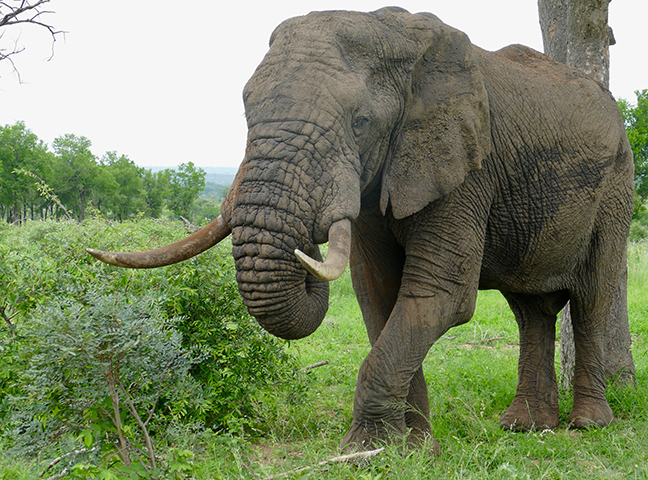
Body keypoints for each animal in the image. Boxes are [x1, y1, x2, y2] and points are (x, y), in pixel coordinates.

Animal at [88, 7, 634, 453]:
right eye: (245, 110)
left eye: (361, 122)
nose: (306, 243)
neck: (396, 33)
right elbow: (379, 295)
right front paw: (409, 449)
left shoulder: (465, 165)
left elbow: (438, 294)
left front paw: (368, 449)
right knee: (530, 309)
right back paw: (525, 427)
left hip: (616, 184)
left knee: (590, 297)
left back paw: (587, 425)